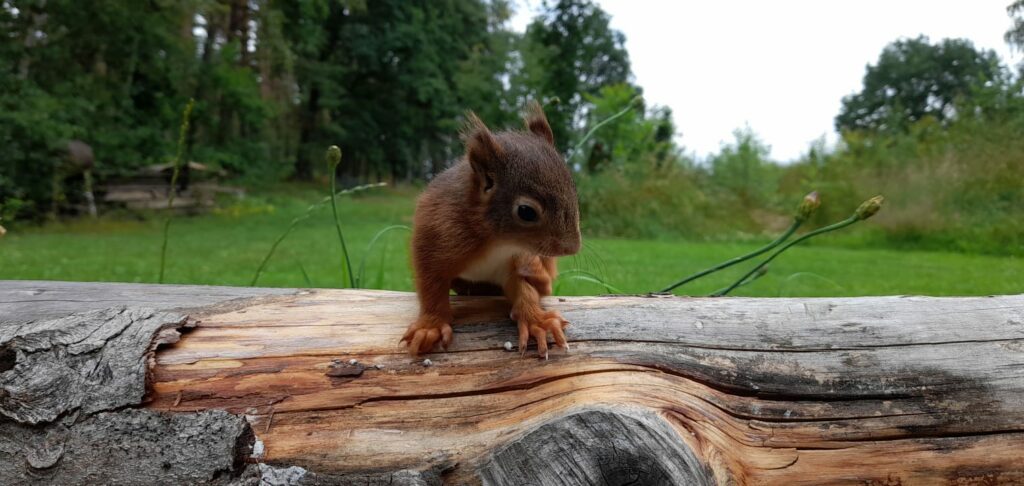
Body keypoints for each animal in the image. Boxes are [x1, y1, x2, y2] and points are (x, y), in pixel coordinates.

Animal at [400, 102, 581, 358]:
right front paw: (430, 327)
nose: (571, 248)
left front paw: (537, 321)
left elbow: (523, 290)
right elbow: (431, 286)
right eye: (526, 211)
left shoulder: (508, 265)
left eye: (574, 190)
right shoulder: (434, 236)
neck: (498, 242)